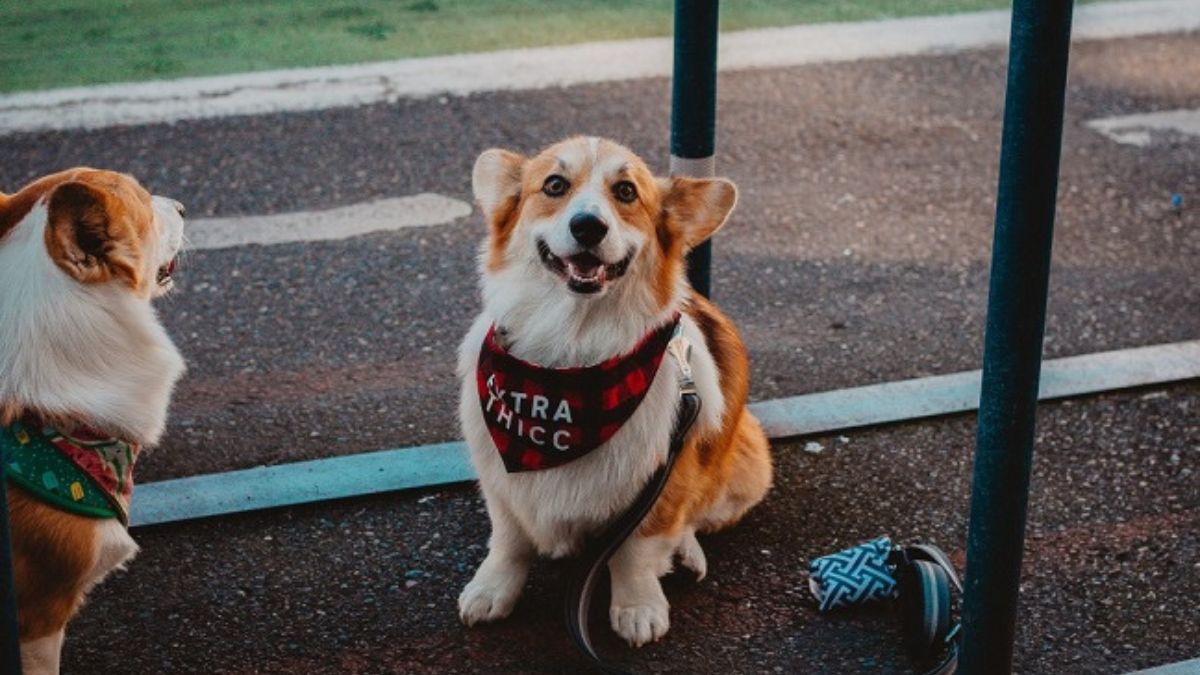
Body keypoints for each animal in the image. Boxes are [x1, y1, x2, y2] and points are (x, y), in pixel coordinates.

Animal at [453, 135, 772, 638]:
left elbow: (634, 551)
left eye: (626, 191)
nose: (588, 226)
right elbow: (509, 540)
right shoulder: (500, 482)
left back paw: (685, 555)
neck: (571, 354)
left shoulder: (661, 481)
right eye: (555, 185)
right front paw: (491, 591)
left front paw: (638, 607)